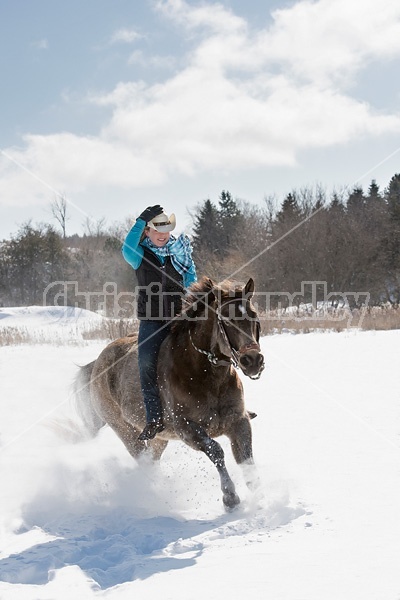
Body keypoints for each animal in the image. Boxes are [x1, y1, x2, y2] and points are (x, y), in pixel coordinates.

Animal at [73, 278, 264, 510]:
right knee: (143, 460)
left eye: (253, 315)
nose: (252, 361)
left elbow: (246, 458)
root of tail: (96, 365)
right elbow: (216, 451)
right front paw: (230, 497)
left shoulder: (239, 421)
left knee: (152, 459)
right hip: (124, 430)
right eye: (226, 320)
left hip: (159, 438)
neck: (206, 375)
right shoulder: (187, 429)